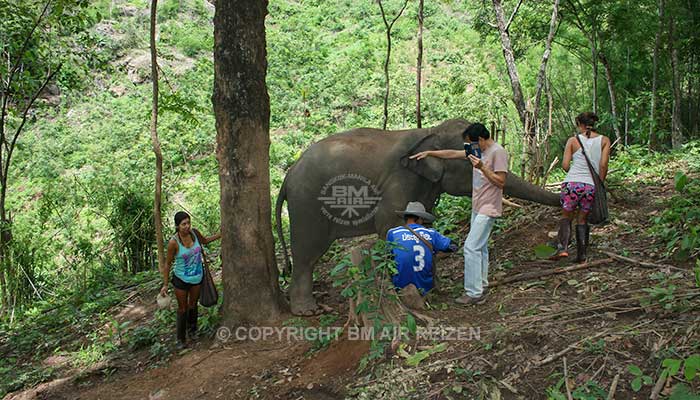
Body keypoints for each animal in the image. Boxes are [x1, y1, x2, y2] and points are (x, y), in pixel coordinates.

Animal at [274, 119, 556, 316]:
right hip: (307, 205)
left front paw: (434, 289)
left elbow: (425, 227)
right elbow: (389, 224)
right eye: (474, 160)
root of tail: (288, 175)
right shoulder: (400, 179)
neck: (428, 131)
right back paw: (307, 311)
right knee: (307, 254)